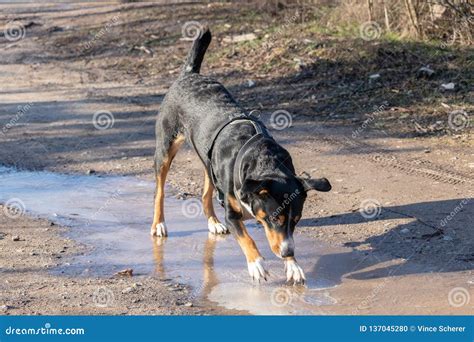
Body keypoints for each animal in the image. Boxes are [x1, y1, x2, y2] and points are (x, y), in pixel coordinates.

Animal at [150, 27, 332, 284]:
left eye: (296, 220)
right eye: (275, 219)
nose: (288, 252)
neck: (263, 159)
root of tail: (190, 74)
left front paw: (293, 265)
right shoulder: (233, 215)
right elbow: (247, 238)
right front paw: (257, 264)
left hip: (209, 163)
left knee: (205, 193)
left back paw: (213, 222)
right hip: (166, 149)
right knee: (159, 191)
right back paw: (159, 225)